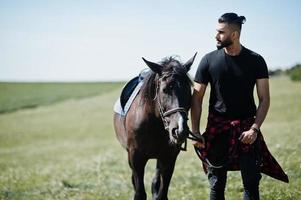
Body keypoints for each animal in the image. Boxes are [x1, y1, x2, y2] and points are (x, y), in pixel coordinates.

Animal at [113, 53, 198, 200]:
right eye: (164, 90)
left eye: (189, 91)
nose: (180, 130)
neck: (154, 124)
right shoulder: (136, 158)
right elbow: (139, 193)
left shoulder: (169, 157)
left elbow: (161, 193)